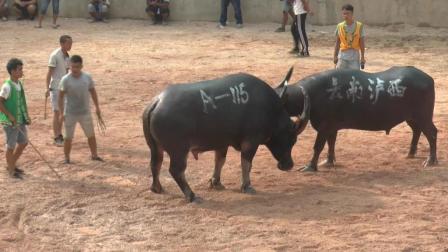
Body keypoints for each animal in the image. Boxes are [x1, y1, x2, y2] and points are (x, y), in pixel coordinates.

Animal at [142, 69, 310, 203]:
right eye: (292, 139)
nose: (289, 165)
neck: (270, 111)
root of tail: (157, 102)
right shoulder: (251, 142)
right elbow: (246, 163)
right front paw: (247, 186)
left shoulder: (222, 143)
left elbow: (220, 161)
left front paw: (215, 182)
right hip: (179, 151)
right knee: (176, 170)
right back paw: (191, 195)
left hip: (155, 148)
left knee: (155, 163)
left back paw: (157, 188)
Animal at [276, 66, 438, 172]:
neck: (310, 95)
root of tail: (429, 79)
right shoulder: (331, 128)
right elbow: (331, 143)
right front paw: (329, 161)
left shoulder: (324, 127)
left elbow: (318, 146)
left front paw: (310, 166)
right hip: (411, 118)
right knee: (417, 131)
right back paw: (411, 153)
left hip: (423, 117)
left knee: (432, 133)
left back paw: (431, 160)